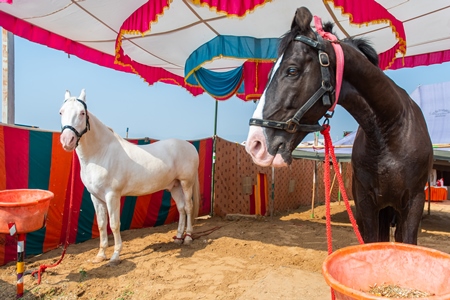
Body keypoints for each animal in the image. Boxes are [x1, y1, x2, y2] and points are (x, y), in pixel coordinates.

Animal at [59, 88, 200, 264]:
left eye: (82, 113)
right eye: (61, 112)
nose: (67, 140)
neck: (101, 153)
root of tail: (190, 146)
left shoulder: (112, 195)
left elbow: (114, 224)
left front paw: (115, 256)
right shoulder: (96, 197)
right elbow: (101, 225)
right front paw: (100, 255)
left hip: (186, 183)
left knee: (188, 207)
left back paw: (187, 238)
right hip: (174, 186)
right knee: (181, 208)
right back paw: (178, 238)